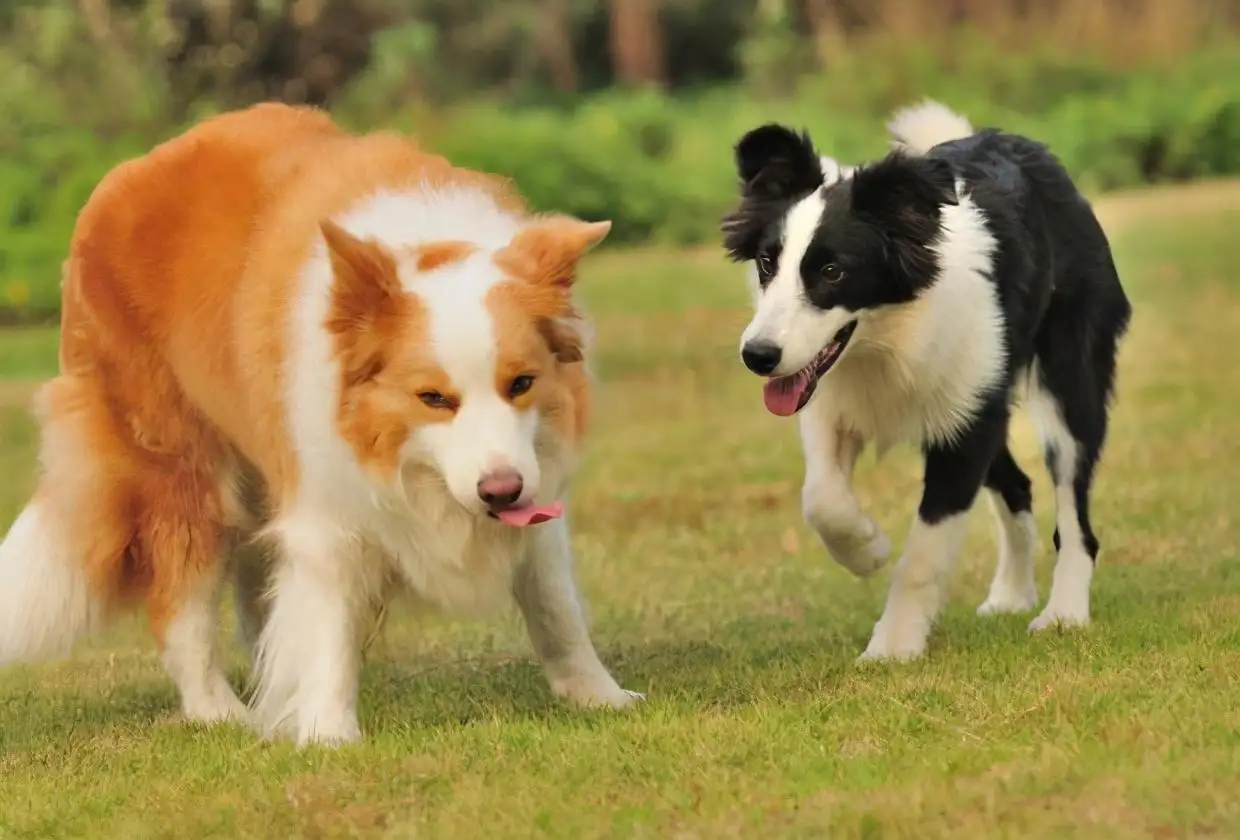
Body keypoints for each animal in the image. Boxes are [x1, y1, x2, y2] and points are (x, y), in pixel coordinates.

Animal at [0, 102, 639, 739]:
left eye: (522, 384)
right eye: (433, 398)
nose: (501, 492)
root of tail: (125, 173)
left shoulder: (539, 482)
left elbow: (554, 601)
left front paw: (598, 695)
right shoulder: (323, 490)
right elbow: (328, 612)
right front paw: (329, 734)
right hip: (182, 473)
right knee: (183, 606)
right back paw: (219, 711)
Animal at [719, 101, 1135, 660]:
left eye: (832, 272)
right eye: (767, 263)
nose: (758, 356)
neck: (888, 337)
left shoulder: (965, 428)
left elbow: (924, 551)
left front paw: (892, 647)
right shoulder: (835, 403)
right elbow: (821, 499)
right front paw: (868, 550)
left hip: (1064, 378)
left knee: (1073, 503)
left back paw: (1063, 612)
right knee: (1017, 484)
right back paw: (1011, 594)